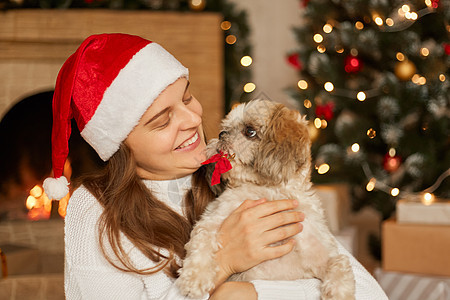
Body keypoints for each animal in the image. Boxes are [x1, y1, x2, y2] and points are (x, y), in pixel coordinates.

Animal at [176, 99, 356, 298]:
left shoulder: (321, 253)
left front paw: (339, 294)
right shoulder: (213, 219)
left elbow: (340, 264)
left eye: (250, 131)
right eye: (225, 128)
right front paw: (195, 278)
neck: (271, 192)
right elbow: (202, 240)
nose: (222, 134)